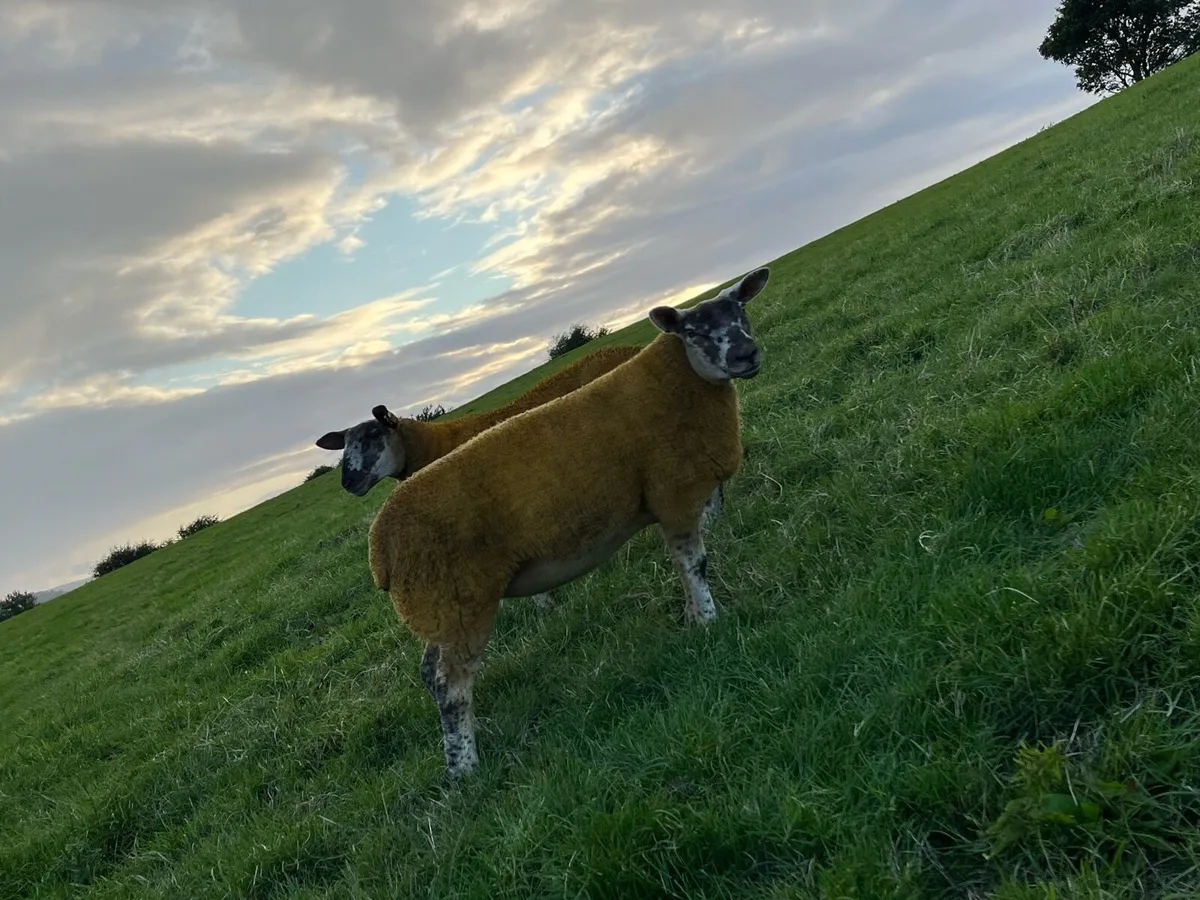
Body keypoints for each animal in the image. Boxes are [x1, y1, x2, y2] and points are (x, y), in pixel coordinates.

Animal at [367, 266, 770, 777]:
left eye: (742, 311)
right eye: (693, 331)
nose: (744, 354)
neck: (677, 384)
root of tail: (380, 546)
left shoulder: (669, 500)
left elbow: (683, 565)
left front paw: (695, 620)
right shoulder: (673, 492)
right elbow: (694, 565)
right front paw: (709, 621)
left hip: (438, 606)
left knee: (427, 672)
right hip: (459, 598)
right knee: (450, 687)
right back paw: (464, 769)